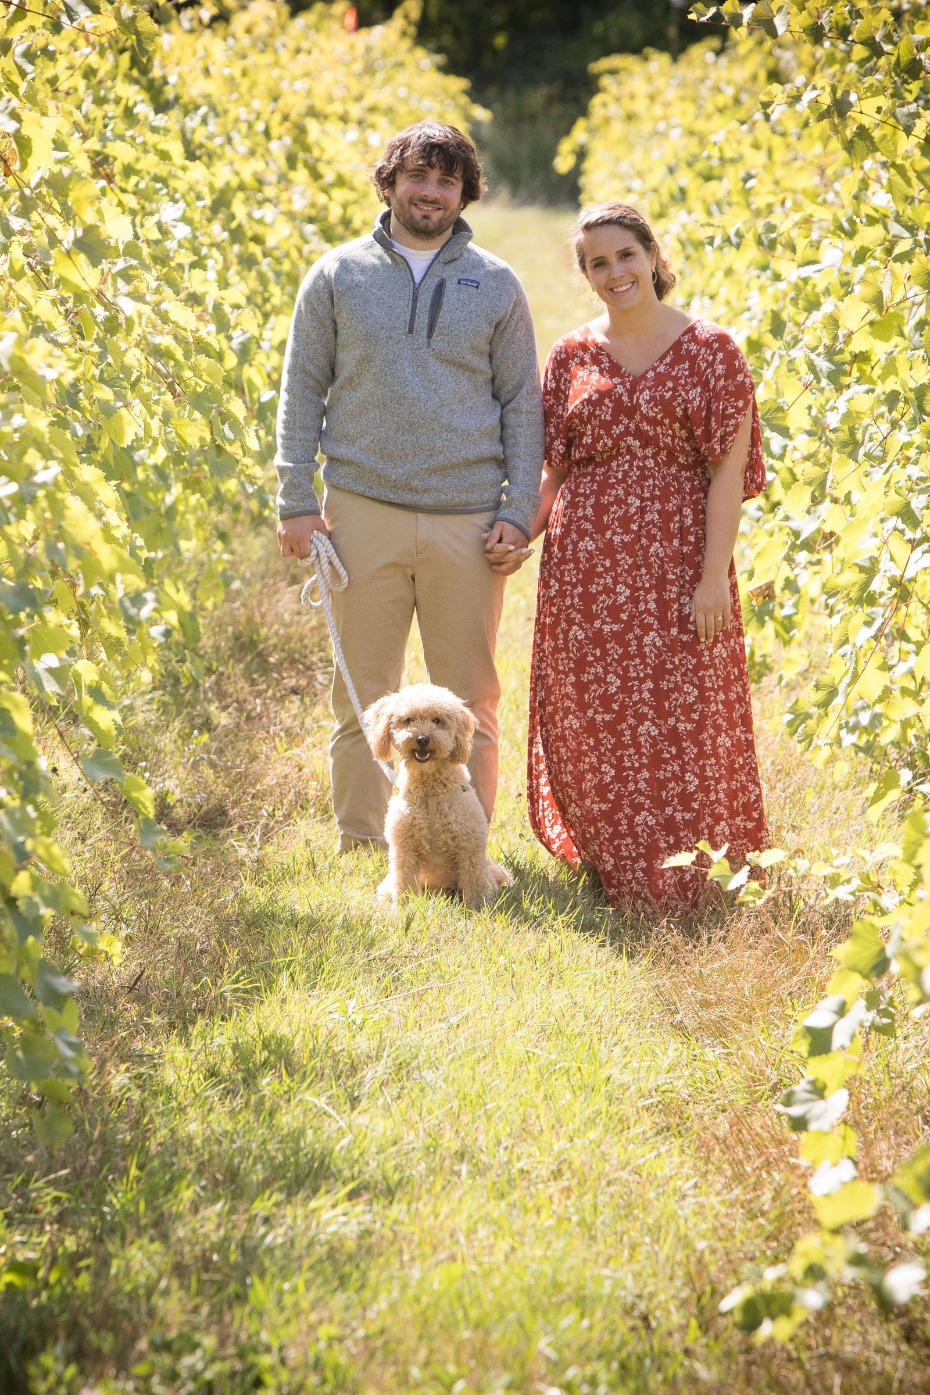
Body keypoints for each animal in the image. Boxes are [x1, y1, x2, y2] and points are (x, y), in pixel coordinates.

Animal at [362, 680, 513, 909]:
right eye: (409, 720)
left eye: (437, 720)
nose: (423, 739)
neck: (430, 794)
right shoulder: (404, 849)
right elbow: (404, 882)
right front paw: (405, 907)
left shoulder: (469, 848)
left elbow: (474, 882)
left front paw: (477, 908)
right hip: (391, 881)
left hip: (484, 874)